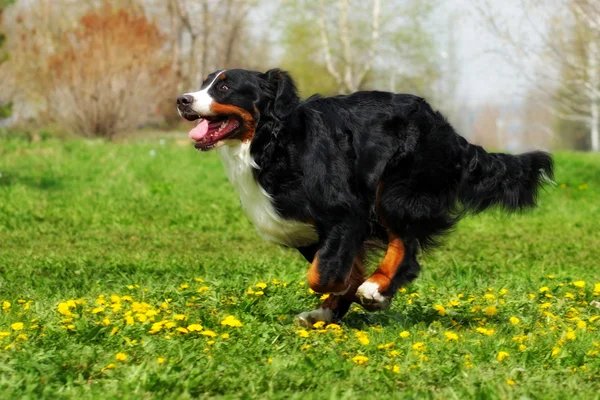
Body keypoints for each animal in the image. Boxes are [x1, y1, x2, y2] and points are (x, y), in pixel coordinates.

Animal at [176, 68, 556, 324]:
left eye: (224, 87)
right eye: (205, 82)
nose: (182, 99)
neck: (271, 142)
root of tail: (446, 129)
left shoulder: (346, 213)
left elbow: (322, 275)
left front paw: (355, 295)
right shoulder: (308, 231)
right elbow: (336, 266)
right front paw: (329, 310)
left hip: (398, 191)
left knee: (406, 247)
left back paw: (377, 290)